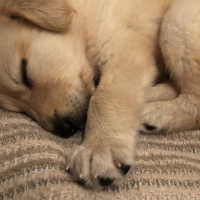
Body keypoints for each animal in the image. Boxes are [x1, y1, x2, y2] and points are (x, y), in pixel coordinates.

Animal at [0, 0, 200, 189]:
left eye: (24, 72)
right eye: (19, 109)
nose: (64, 129)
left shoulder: (125, 52)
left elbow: (105, 98)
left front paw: (98, 149)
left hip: (178, 18)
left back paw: (158, 114)